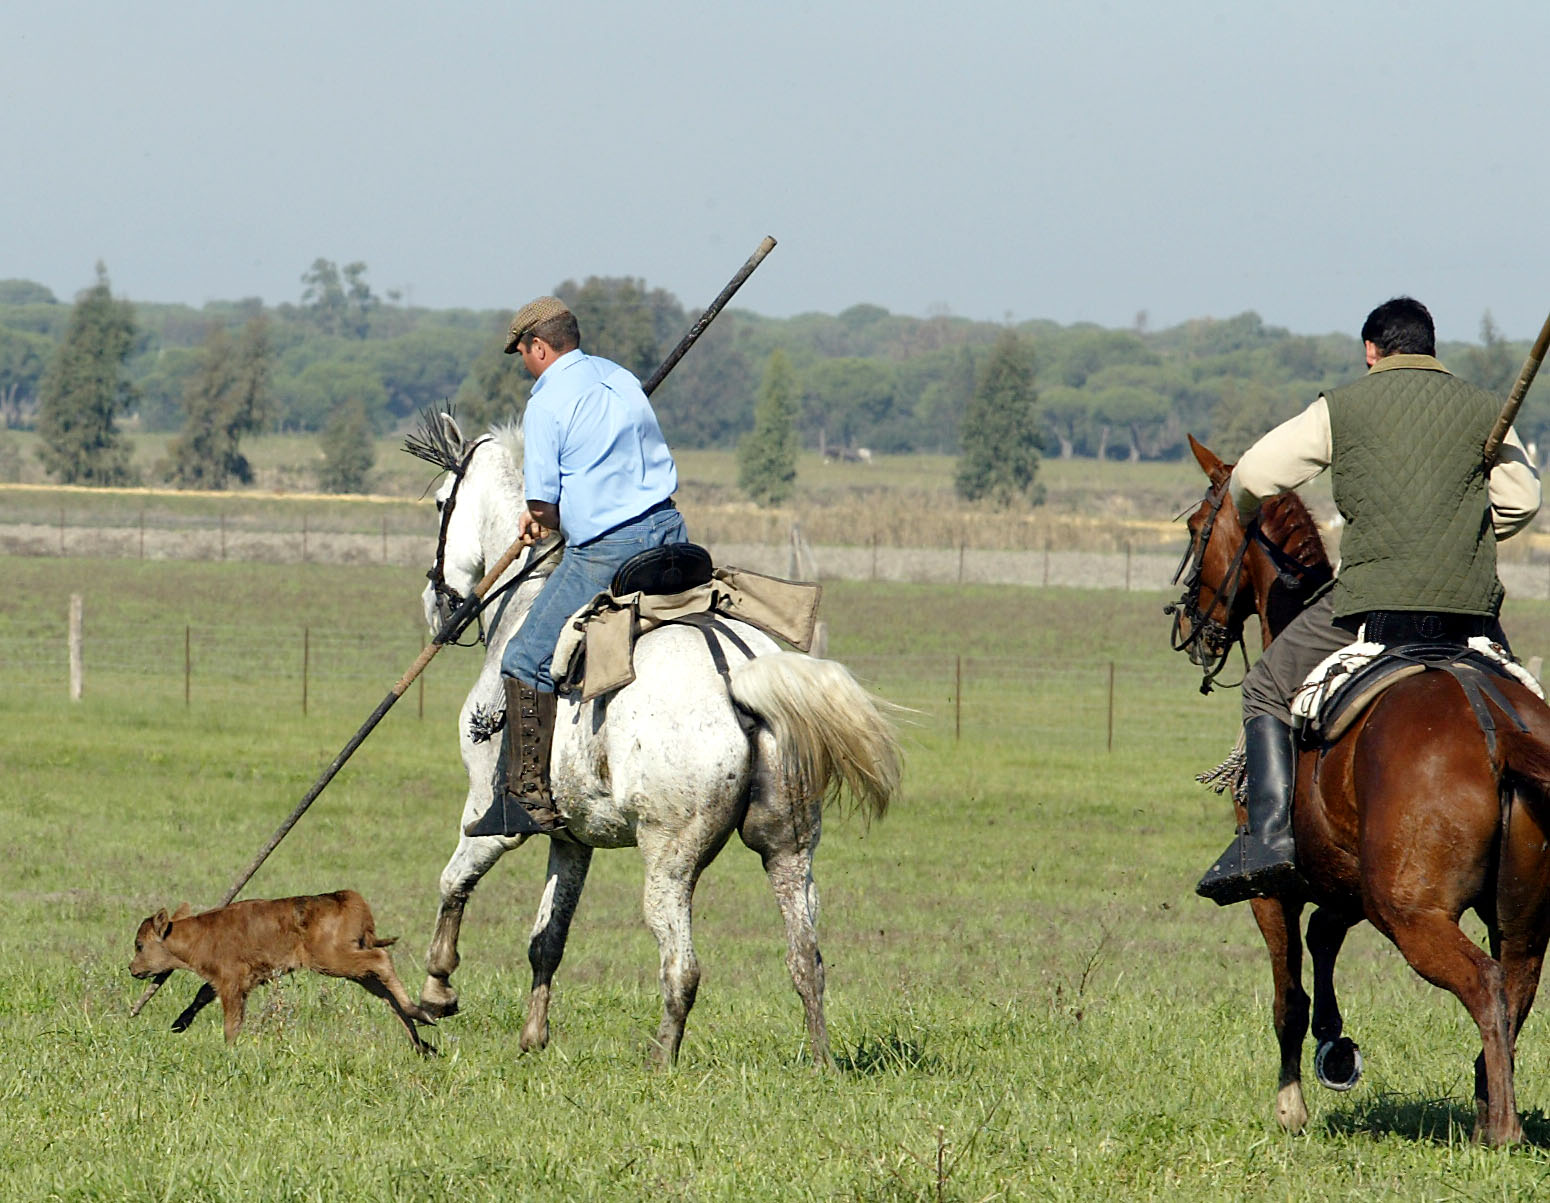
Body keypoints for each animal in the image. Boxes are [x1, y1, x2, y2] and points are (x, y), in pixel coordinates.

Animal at [130, 890, 435, 1054]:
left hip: (334, 960)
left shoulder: (231, 983)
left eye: (139, 945)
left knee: (381, 959)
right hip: (356, 971)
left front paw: (229, 1048)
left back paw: (422, 1015)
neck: (199, 935)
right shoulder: (234, 982)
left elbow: (231, 1021)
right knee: (387, 994)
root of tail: (346, 897)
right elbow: (203, 994)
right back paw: (420, 1039)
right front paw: (179, 1023)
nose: (132, 968)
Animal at [404, 414, 902, 1066]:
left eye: (443, 501)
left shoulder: (491, 816)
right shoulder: (571, 838)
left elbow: (453, 881)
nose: (434, 604)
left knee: (682, 968)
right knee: (806, 959)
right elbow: (548, 937)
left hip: (670, 858)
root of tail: (737, 676)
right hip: (789, 848)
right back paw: (818, 1060)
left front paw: (436, 990)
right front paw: (533, 1038)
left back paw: (660, 1061)